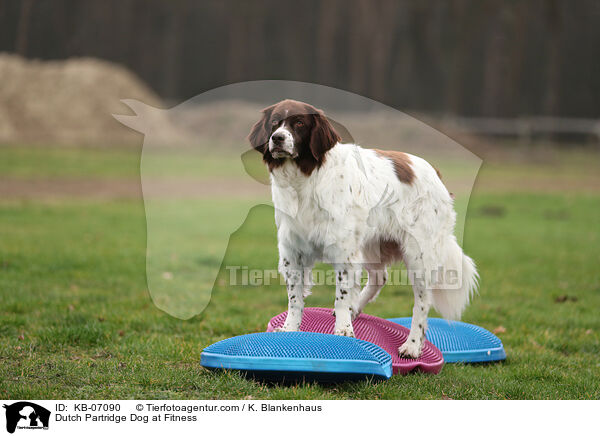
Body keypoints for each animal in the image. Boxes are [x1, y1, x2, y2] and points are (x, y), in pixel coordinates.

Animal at [245, 99, 478, 358]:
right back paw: (356, 309)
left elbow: (341, 294)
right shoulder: (291, 250)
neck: (306, 179)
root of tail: (435, 173)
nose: (277, 138)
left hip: (419, 254)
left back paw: (412, 345)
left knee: (422, 302)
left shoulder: (344, 252)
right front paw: (290, 329)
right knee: (379, 277)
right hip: (372, 245)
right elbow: (295, 297)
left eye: (299, 123)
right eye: (275, 122)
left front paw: (343, 330)